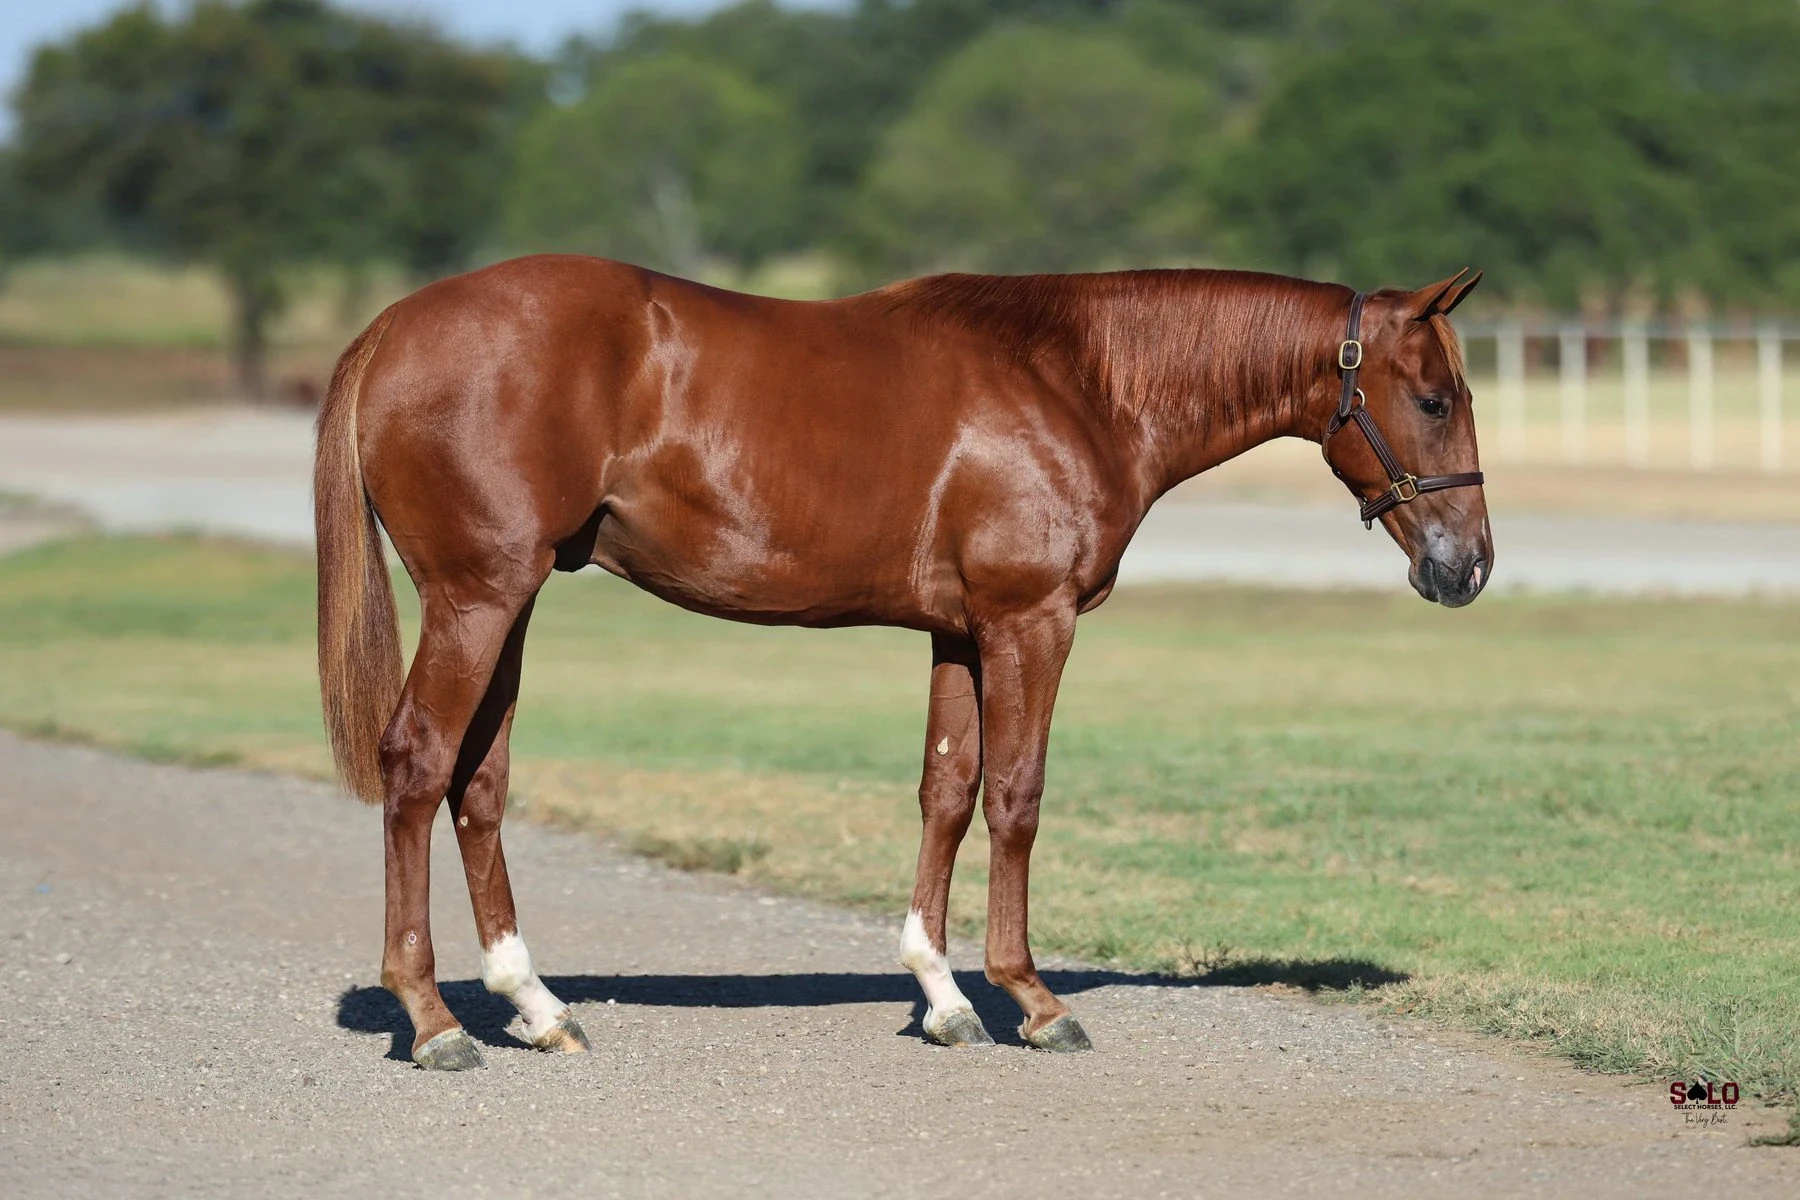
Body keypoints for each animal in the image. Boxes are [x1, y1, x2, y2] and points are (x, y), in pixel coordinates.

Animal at [314, 256, 1490, 1069]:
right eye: (1435, 399)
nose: (1469, 564)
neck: (1077, 380)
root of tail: (391, 327)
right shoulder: (1030, 622)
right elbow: (1015, 795)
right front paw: (1032, 1000)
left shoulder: (960, 633)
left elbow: (946, 790)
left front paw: (945, 998)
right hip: (477, 599)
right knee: (418, 764)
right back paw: (433, 1021)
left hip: (507, 605)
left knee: (479, 784)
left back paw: (536, 1007)